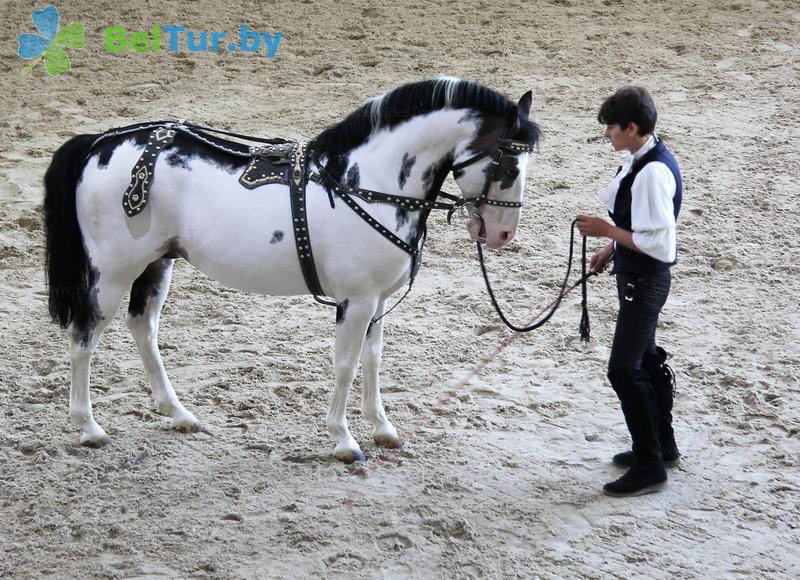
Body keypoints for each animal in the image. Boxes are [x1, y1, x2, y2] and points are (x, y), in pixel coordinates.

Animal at [45, 76, 544, 462]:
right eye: (506, 164)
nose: (502, 234)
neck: (366, 183)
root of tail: (101, 142)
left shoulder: (378, 301)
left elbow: (373, 359)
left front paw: (382, 428)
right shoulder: (356, 300)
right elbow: (345, 364)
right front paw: (344, 440)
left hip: (156, 263)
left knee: (142, 328)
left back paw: (180, 415)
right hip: (113, 272)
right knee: (84, 334)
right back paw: (88, 427)